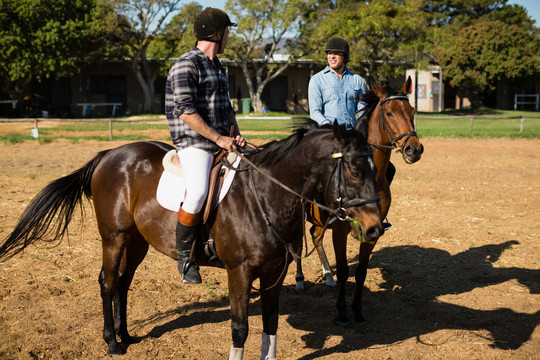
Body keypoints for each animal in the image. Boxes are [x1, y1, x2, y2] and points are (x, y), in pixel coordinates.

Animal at [0, 122, 384, 358]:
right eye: (353, 169)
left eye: (374, 167)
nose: (375, 228)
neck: (267, 194)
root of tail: (108, 155)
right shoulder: (239, 273)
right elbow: (240, 329)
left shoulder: (274, 274)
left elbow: (271, 325)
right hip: (114, 238)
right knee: (108, 282)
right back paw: (112, 342)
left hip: (138, 242)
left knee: (123, 283)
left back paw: (126, 336)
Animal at [298, 77, 424, 328]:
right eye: (389, 113)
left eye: (412, 111)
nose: (414, 149)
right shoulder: (339, 231)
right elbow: (345, 270)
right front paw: (342, 313)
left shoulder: (373, 232)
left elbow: (361, 273)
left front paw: (357, 310)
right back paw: (299, 280)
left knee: (315, 235)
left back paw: (328, 276)